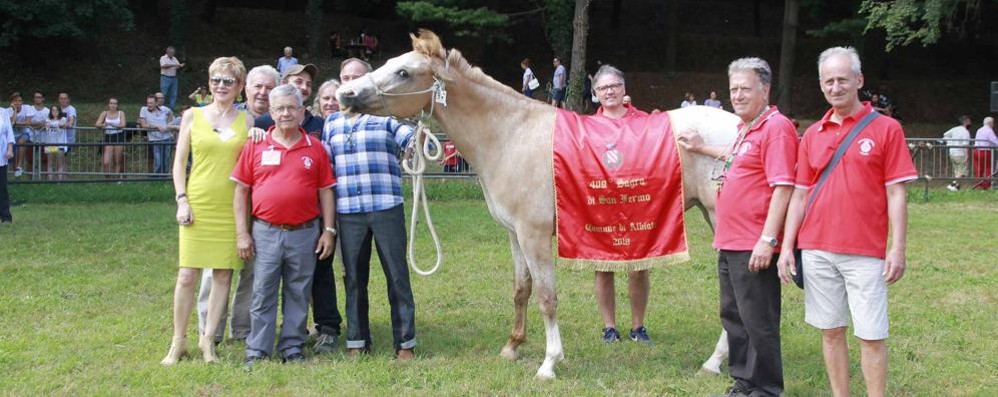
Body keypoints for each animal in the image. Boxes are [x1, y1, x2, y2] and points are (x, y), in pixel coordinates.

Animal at [336, 30, 736, 378]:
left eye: (403, 72)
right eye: (390, 63)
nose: (345, 94)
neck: (510, 135)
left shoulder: (535, 235)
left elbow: (547, 296)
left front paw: (549, 363)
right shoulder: (515, 235)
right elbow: (521, 290)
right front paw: (512, 347)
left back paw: (714, 362)